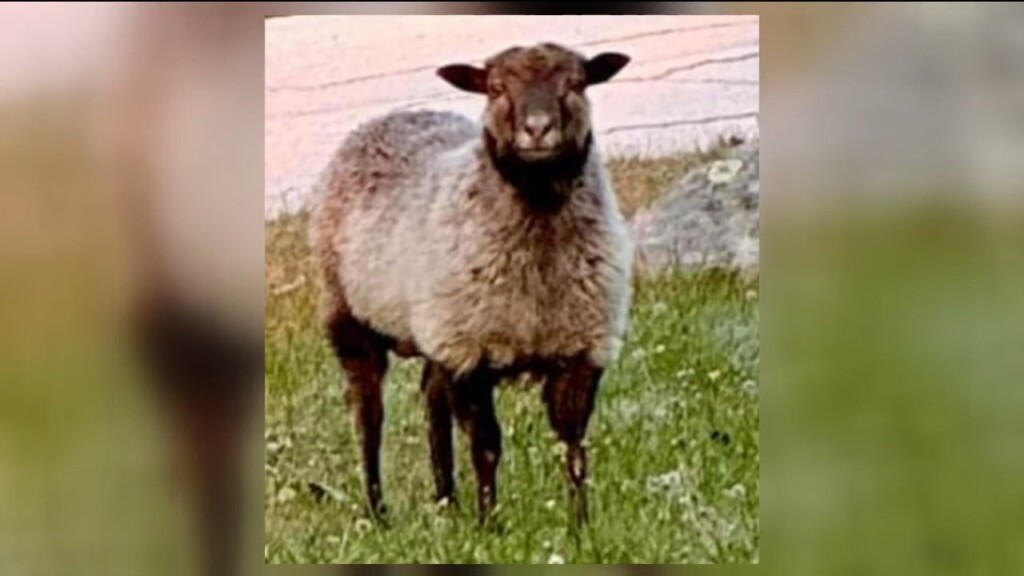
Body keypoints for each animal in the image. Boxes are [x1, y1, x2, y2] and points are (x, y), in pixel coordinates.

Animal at [310, 42, 633, 527]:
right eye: (496, 88)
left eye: (576, 83)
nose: (538, 129)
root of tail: (389, 118)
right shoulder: (470, 352)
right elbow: (486, 447)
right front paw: (490, 525)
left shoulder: (580, 349)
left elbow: (573, 447)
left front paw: (580, 526)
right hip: (351, 317)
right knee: (368, 417)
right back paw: (379, 511)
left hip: (434, 330)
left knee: (432, 403)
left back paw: (446, 499)